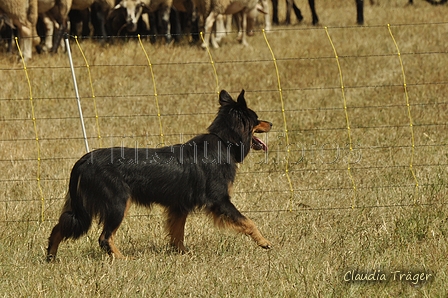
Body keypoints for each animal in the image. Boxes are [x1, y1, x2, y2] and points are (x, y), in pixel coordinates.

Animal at [48, 89, 272, 262]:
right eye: (256, 119)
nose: (271, 123)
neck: (223, 141)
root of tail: (84, 160)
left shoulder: (179, 206)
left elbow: (177, 233)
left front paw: (182, 254)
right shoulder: (220, 201)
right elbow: (248, 221)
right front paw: (264, 242)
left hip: (82, 207)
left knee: (60, 227)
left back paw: (51, 257)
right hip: (117, 203)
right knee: (104, 237)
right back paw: (122, 259)